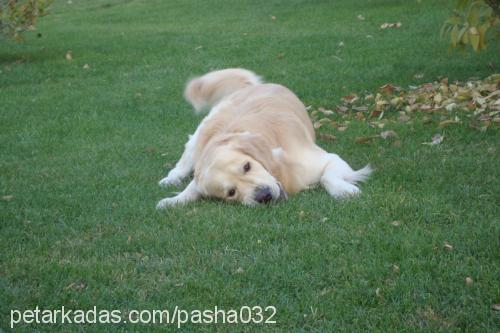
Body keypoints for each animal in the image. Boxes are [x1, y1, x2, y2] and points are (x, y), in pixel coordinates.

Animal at [156, 68, 372, 209]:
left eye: (247, 166)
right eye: (231, 192)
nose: (264, 195)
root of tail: (251, 87)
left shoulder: (327, 159)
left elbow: (328, 176)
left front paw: (345, 191)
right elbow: (192, 188)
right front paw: (174, 200)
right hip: (200, 135)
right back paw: (171, 178)